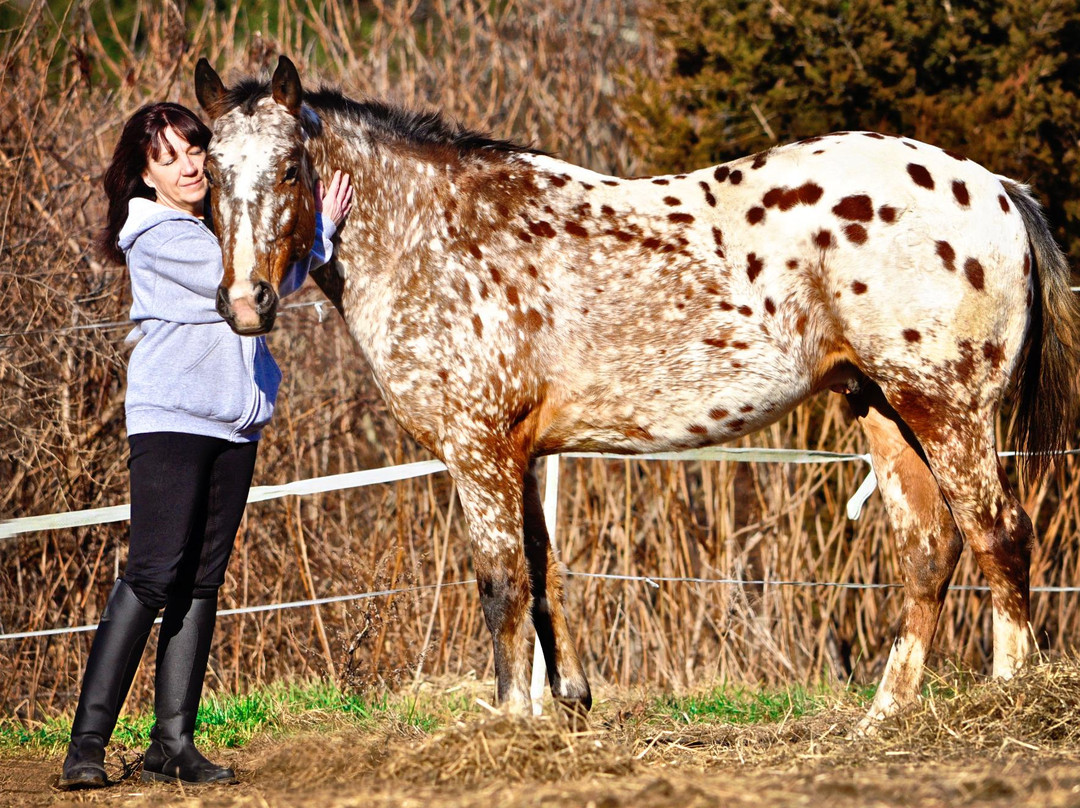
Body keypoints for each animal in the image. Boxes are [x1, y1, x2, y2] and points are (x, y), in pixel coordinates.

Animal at [194, 55, 1078, 726]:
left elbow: (501, 585)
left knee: (1000, 534)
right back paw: (881, 720)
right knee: (930, 551)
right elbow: (544, 575)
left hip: (947, 408)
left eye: (290, 168)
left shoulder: (477, 448)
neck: (433, 235)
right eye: (209, 173)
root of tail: (994, 186)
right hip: (885, 408)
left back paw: (1009, 696)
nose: (245, 303)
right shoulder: (520, 453)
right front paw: (568, 703)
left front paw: (509, 719)